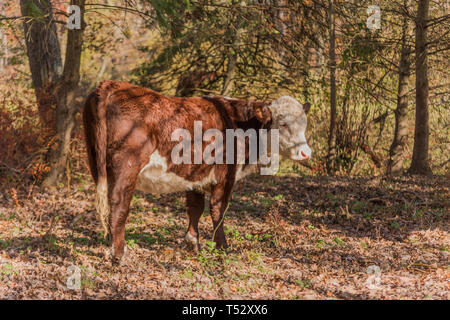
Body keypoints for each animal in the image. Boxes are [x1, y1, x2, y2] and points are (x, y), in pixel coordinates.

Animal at [82, 80, 312, 262]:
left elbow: (195, 208)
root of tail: (113, 85)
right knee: (119, 204)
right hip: (127, 166)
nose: (305, 152)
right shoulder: (225, 175)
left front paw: (192, 243)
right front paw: (222, 247)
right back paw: (119, 253)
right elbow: (218, 209)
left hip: (97, 162)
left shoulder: (195, 175)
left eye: (304, 124)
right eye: (283, 124)